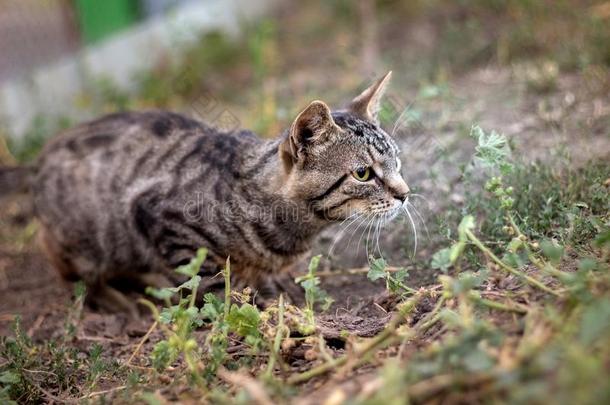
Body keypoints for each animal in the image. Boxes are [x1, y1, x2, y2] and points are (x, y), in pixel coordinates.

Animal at [1, 72, 408, 312]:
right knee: (74, 274)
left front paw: (271, 285)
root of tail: (39, 159)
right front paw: (246, 304)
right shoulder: (161, 219)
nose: (405, 194)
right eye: (363, 173)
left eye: (397, 161)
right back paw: (123, 303)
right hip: (88, 239)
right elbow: (208, 283)